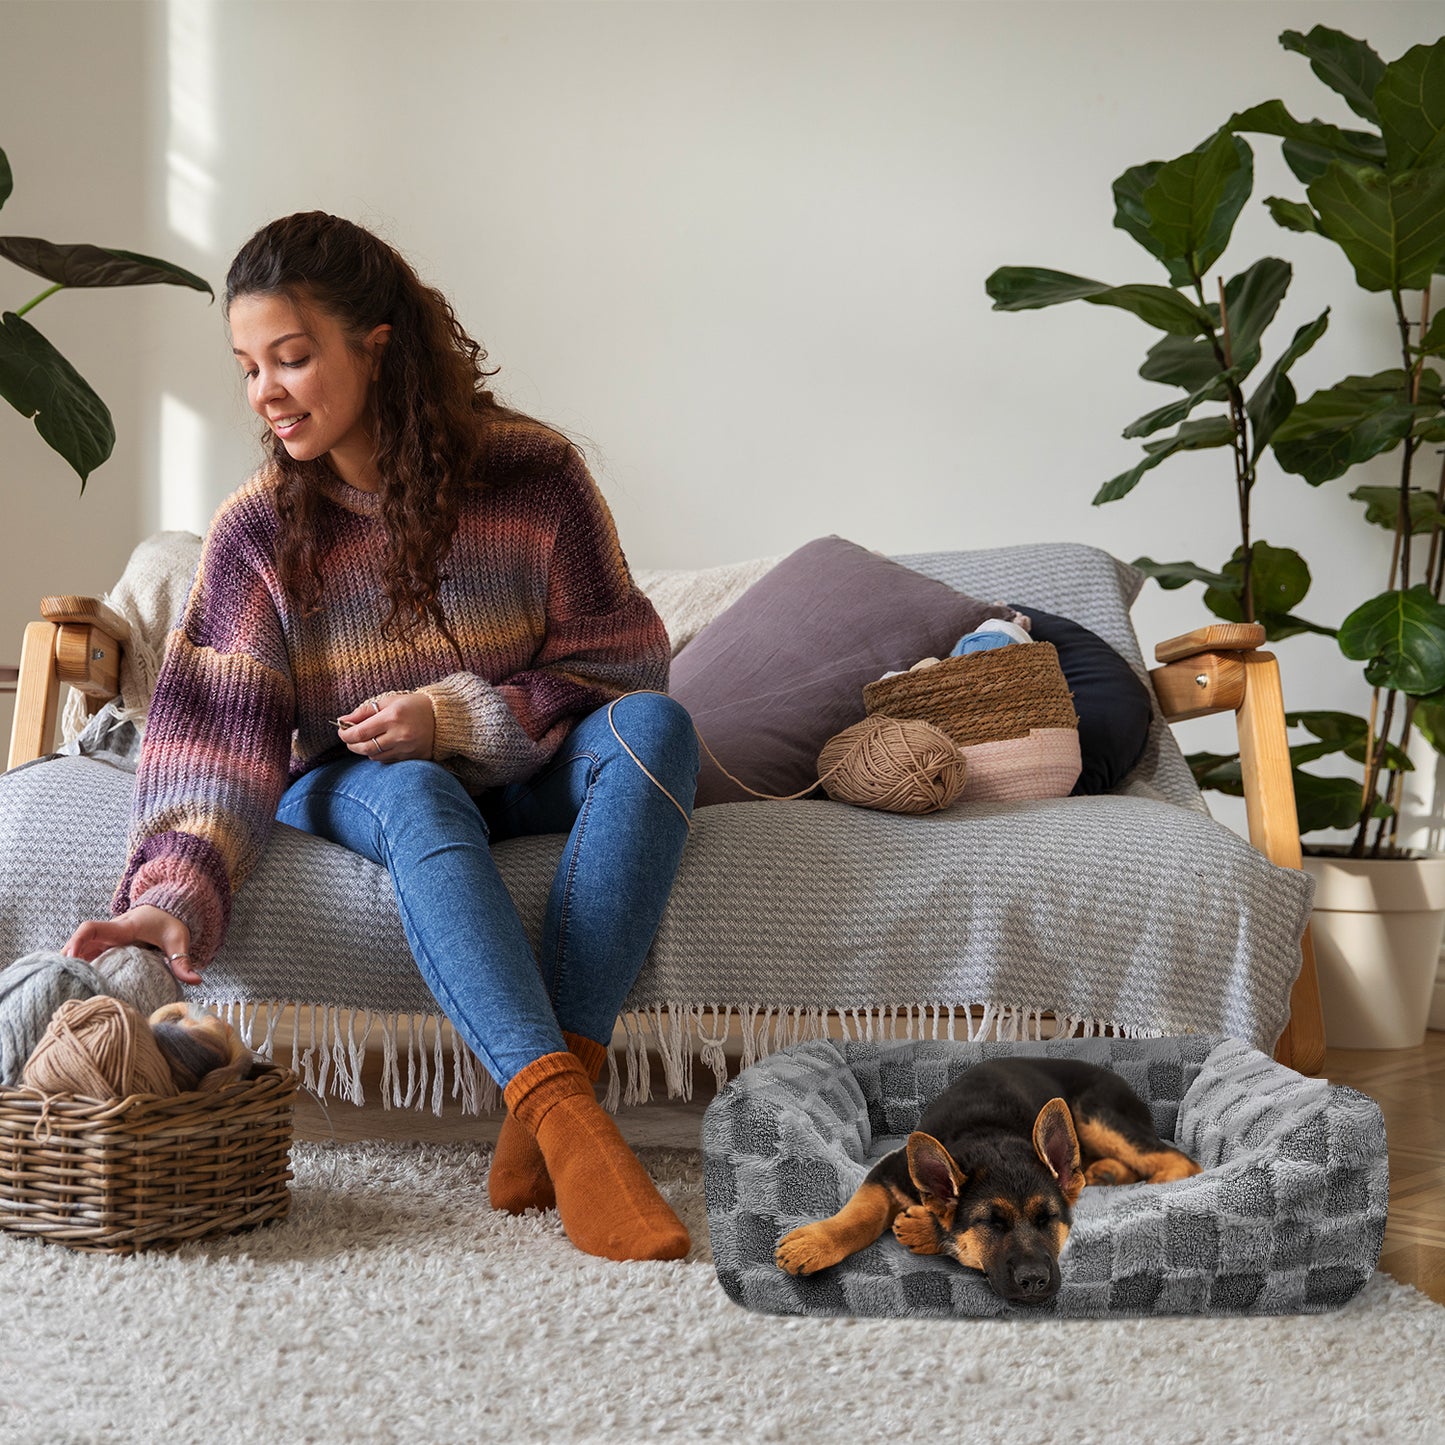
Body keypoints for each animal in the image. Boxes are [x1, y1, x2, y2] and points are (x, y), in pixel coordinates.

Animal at [774, 1057, 1202, 1306]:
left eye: (1047, 1219)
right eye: (990, 1224)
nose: (1034, 1281)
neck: (989, 1136)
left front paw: (924, 1230)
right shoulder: (889, 1168)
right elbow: (861, 1212)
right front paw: (816, 1242)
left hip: (1093, 1112)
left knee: (1180, 1162)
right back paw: (1105, 1173)